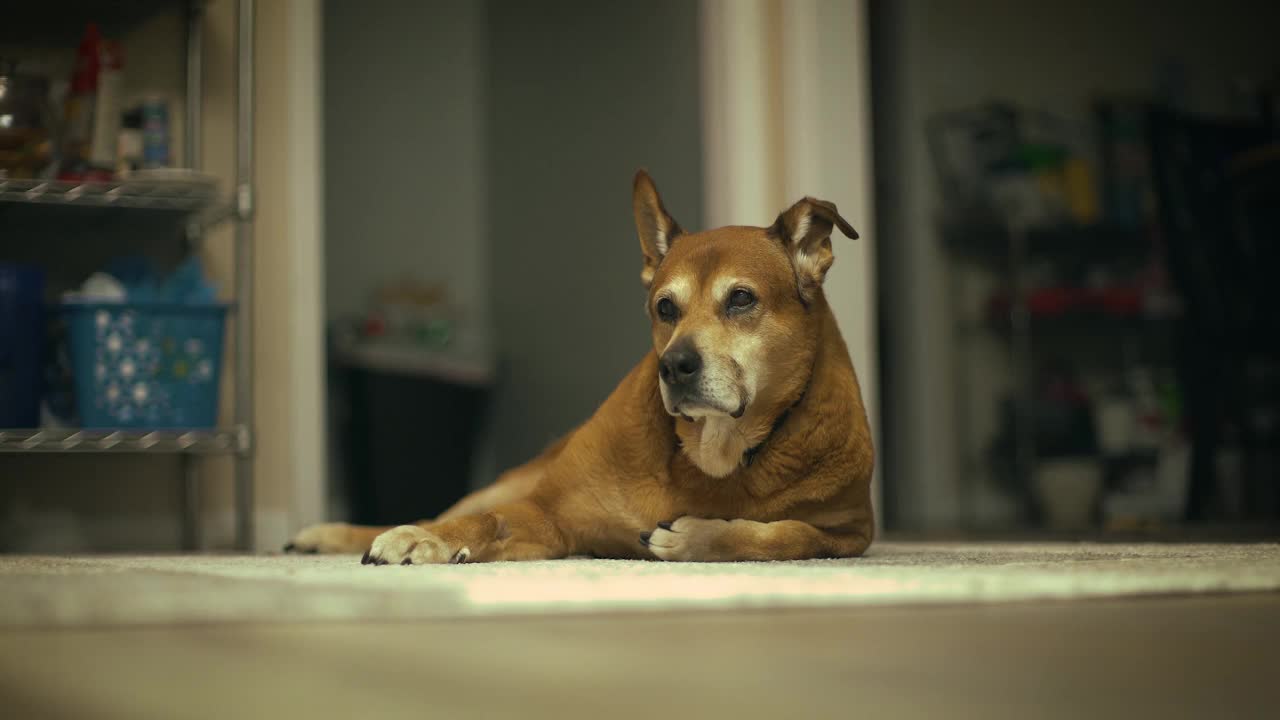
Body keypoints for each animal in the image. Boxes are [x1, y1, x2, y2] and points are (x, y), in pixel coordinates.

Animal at [285, 170, 875, 563]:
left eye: (742, 299)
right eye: (665, 307)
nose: (674, 366)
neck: (712, 454)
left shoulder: (852, 532)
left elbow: (788, 534)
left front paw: (696, 536)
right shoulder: (549, 515)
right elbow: (480, 520)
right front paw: (425, 539)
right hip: (516, 479)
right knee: (451, 508)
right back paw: (334, 535)